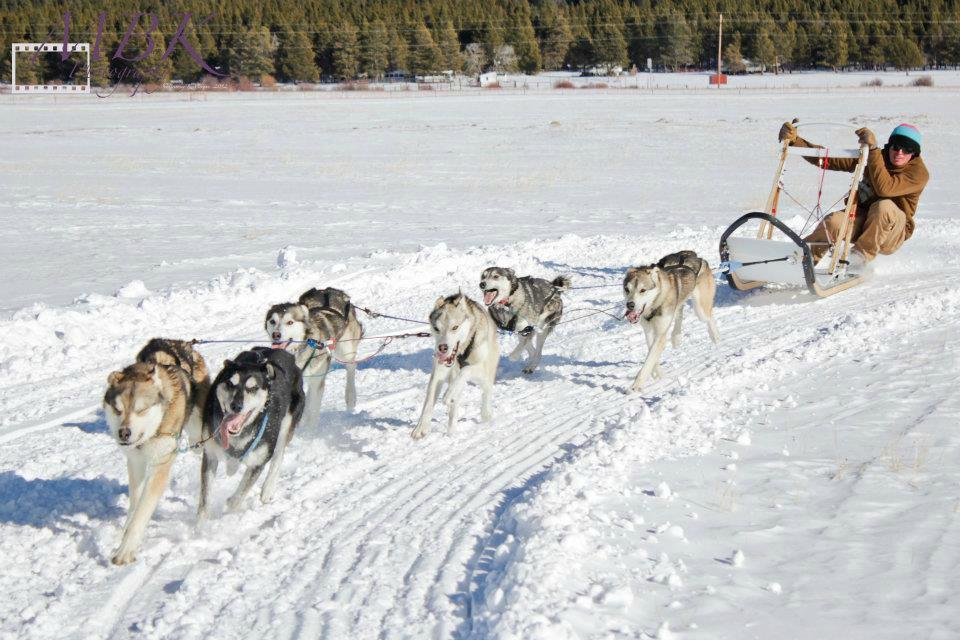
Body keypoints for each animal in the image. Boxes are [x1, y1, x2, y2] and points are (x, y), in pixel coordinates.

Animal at [104, 338, 209, 564]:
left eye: (141, 409)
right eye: (118, 409)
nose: (123, 433)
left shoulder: (160, 463)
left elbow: (142, 511)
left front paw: (125, 550)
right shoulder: (135, 463)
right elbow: (135, 504)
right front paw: (125, 533)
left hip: (198, 429)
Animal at [201, 348, 306, 516]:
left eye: (253, 387)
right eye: (230, 383)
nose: (236, 406)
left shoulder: (258, 462)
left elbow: (237, 498)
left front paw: (228, 509)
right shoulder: (210, 456)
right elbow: (204, 504)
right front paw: (200, 524)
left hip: (286, 426)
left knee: (278, 456)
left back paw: (267, 489)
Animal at [262, 288, 364, 422]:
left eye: (290, 322)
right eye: (272, 321)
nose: (276, 335)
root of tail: (331, 290)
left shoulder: (316, 382)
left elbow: (312, 411)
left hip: (346, 351)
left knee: (351, 367)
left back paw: (350, 396)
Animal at [412, 294, 502, 440]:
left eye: (455, 327)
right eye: (436, 328)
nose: (442, 348)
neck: (462, 351)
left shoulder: (480, 368)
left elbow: (466, 370)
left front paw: (449, 393)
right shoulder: (439, 372)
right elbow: (429, 400)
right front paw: (421, 427)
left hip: (487, 372)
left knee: (486, 389)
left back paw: (485, 413)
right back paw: (451, 430)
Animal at [624, 251, 720, 392]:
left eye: (642, 290)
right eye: (627, 289)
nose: (630, 305)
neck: (655, 303)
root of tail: (697, 257)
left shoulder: (660, 334)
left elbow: (649, 360)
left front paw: (637, 384)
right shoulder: (649, 332)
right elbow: (652, 355)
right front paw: (657, 374)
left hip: (700, 309)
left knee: (709, 317)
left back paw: (715, 336)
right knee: (679, 313)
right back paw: (676, 338)